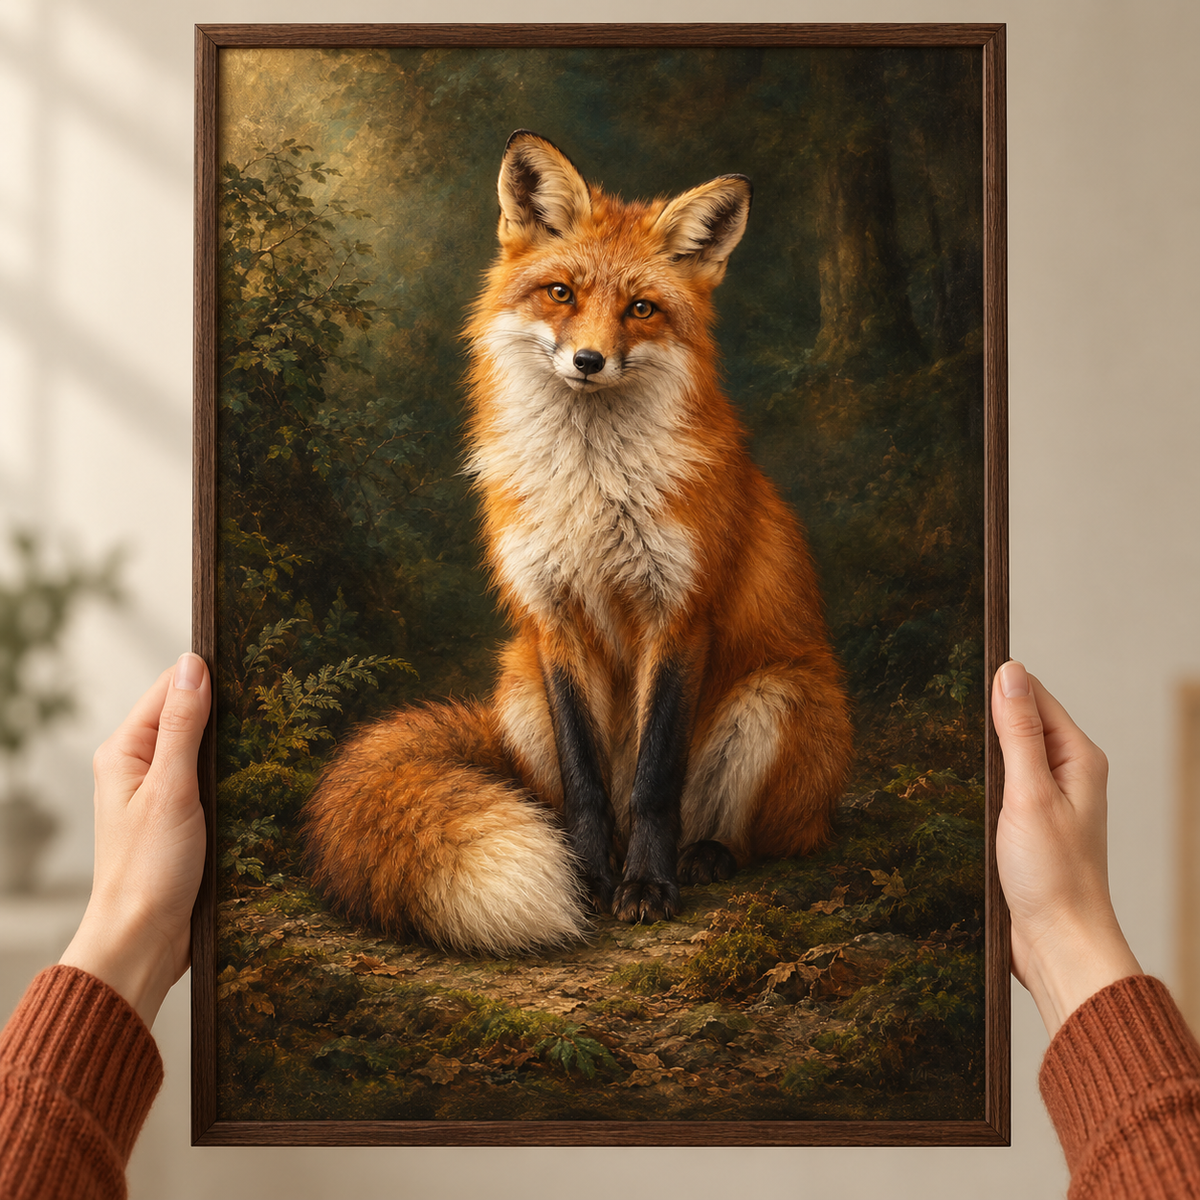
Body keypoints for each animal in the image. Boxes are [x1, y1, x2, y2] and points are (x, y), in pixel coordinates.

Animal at [304, 130, 853, 956]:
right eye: (561, 293)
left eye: (641, 309)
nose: (588, 362)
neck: (591, 492)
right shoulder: (552, 618)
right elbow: (586, 780)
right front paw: (591, 878)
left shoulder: (678, 613)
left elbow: (656, 779)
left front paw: (648, 886)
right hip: (518, 687)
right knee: (562, 797)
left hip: (778, 695)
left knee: (765, 833)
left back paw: (703, 856)